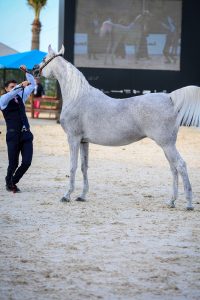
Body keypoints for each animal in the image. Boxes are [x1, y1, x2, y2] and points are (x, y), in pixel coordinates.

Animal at [33, 45, 200, 209]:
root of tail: (169, 97)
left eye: (44, 58)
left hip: (167, 144)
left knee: (181, 165)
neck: (77, 97)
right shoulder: (83, 141)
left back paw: (189, 204)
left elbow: (72, 166)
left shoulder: (73, 138)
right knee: (173, 168)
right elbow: (84, 166)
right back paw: (171, 201)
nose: (34, 69)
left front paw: (67, 195)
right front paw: (82, 196)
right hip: (166, 146)